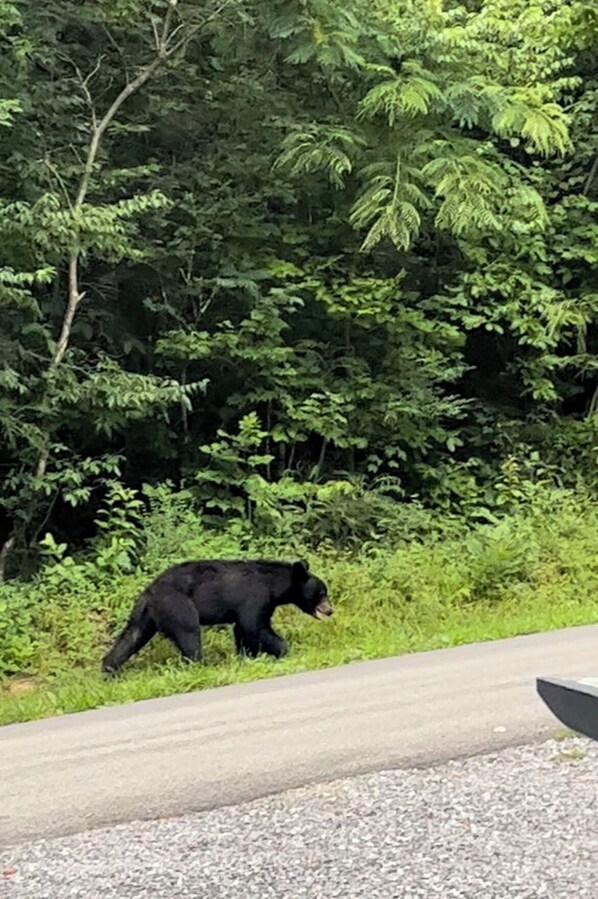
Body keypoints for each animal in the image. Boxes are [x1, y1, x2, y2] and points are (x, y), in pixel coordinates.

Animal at [101, 558, 333, 675]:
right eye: (321, 593)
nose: (330, 610)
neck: (273, 585)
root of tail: (149, 593)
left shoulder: (263, 603)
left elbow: (243, 629)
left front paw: (247, 657)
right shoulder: (255, 595)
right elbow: (254, 626)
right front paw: (284, 651)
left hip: (146, 616)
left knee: (131, 637)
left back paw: (109, 669)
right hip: (177, 605)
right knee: (189, 633)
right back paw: (200, 664)